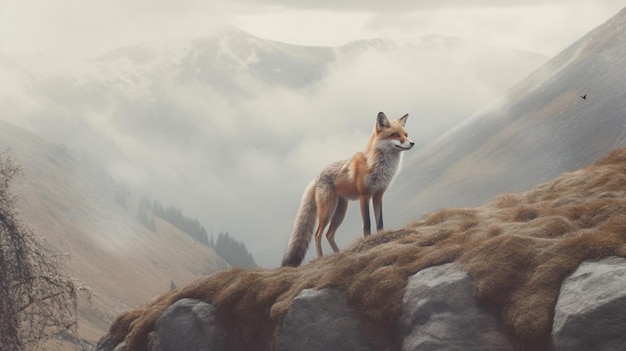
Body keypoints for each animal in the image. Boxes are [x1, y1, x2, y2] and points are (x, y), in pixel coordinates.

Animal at [280, 113, 412, 266]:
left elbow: (380, 222)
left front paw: (381, 237)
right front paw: (367, 242)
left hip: (341, 211)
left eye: (406, 135)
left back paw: (339, 254)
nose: (412, 143)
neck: (376, 166)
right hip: (327, 211)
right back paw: (321, 258)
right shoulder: (364, 196)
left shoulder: (378, 195)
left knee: (329, 234)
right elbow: (367, 223)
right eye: (395, 135)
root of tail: (317, 177)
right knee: (318, 235)